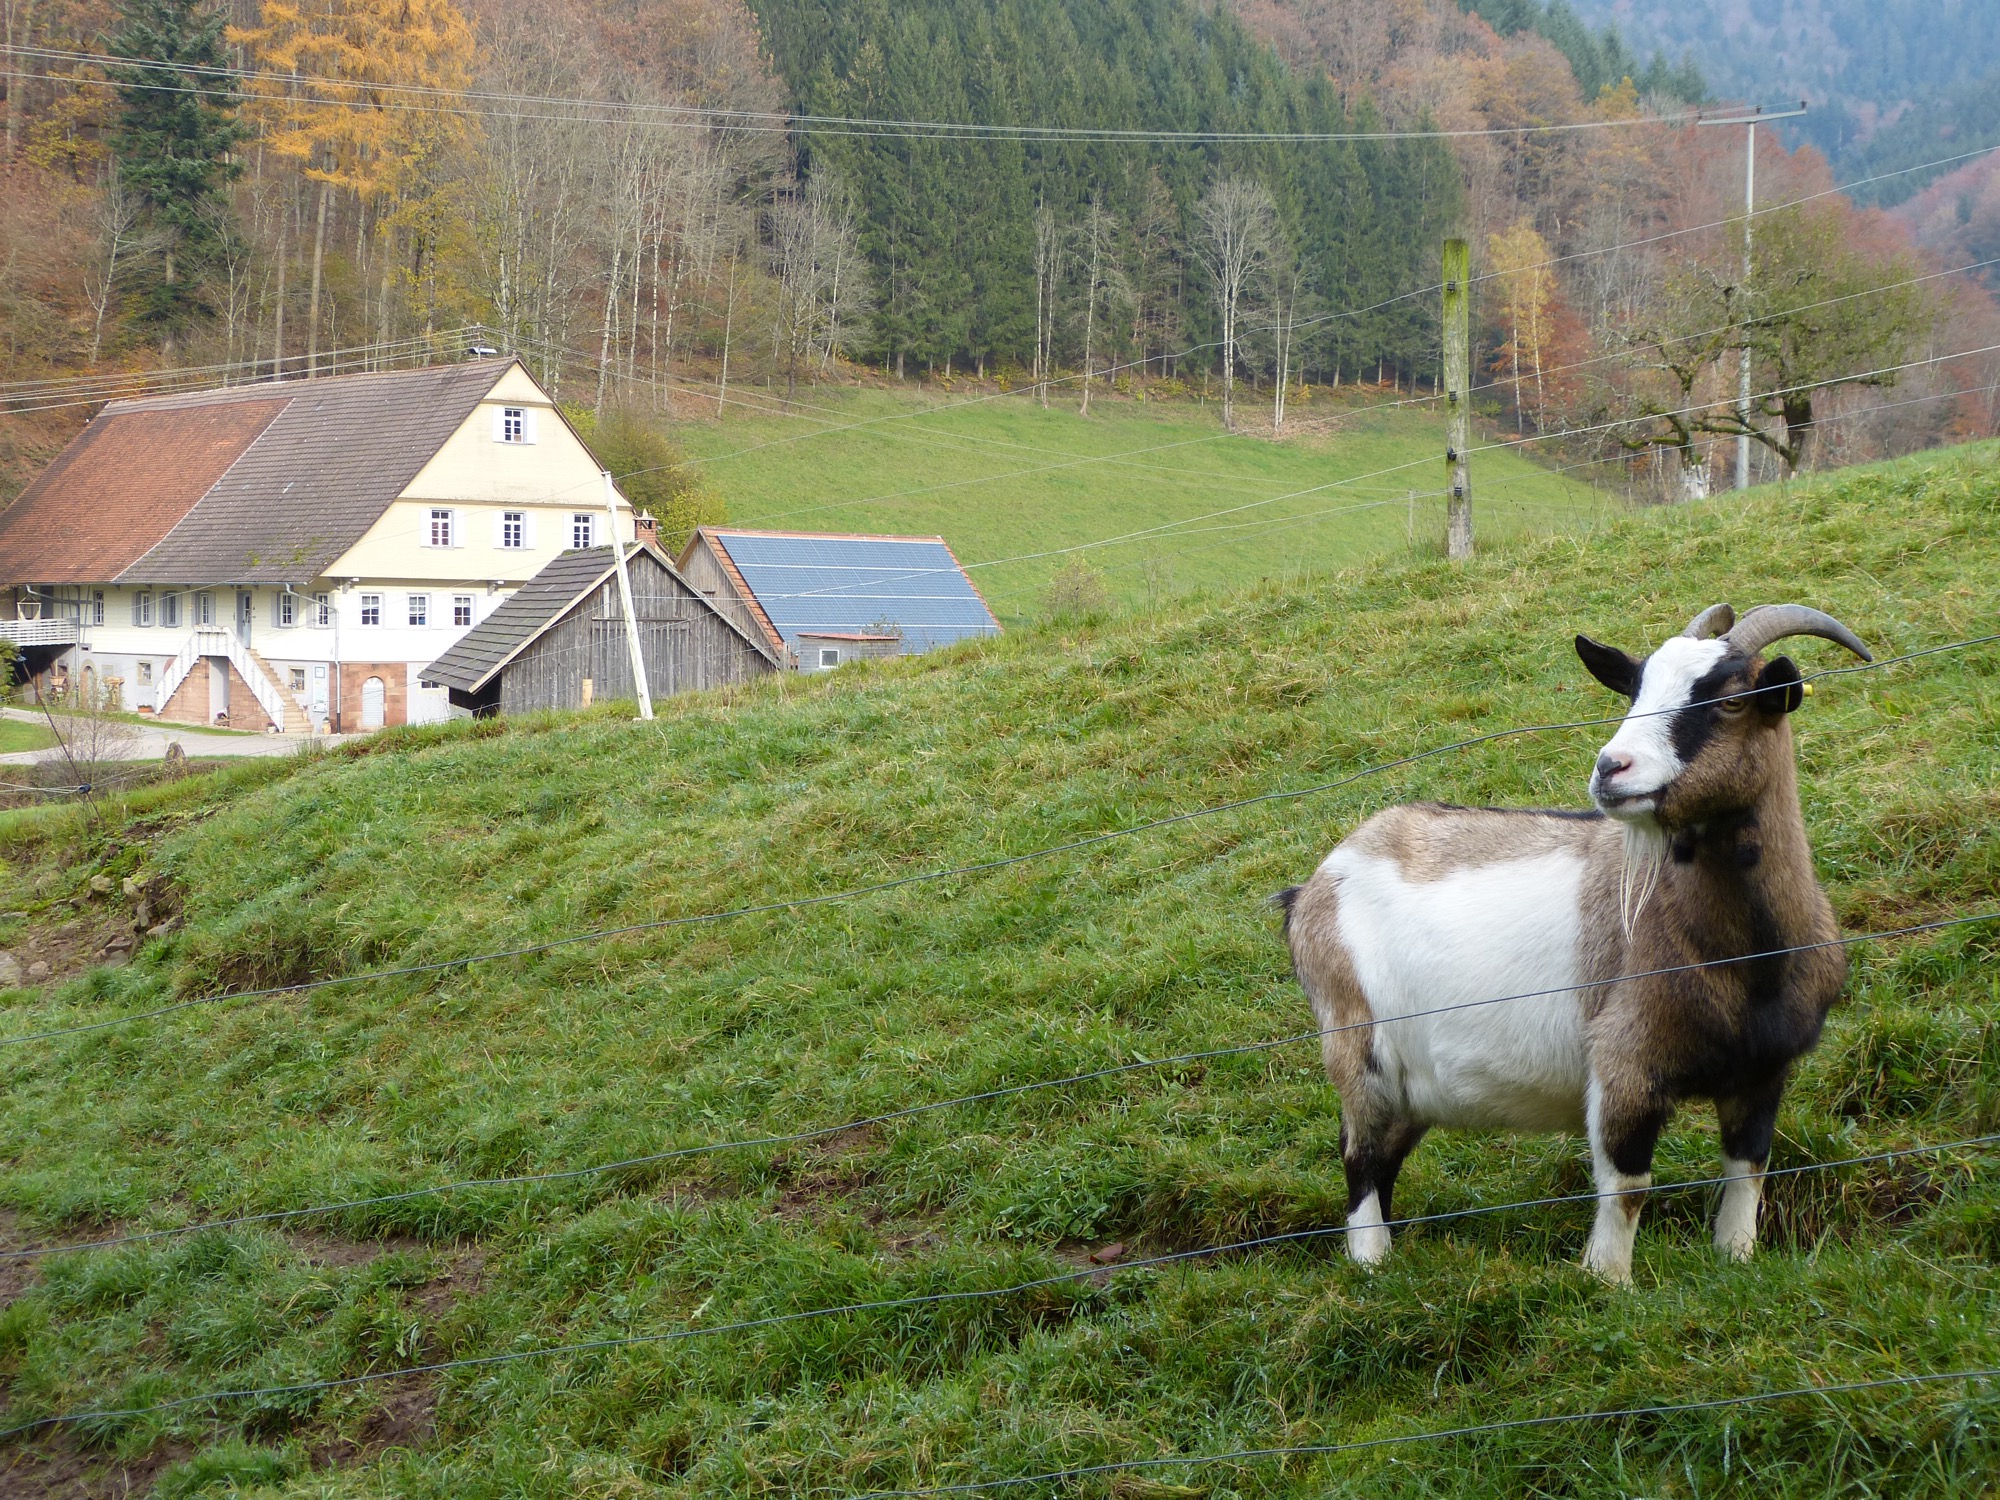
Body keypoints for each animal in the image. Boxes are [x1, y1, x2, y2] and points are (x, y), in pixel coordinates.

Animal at [1279, 603, 1871, 1284]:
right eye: (1636, 689)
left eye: (1731, 699)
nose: (1612, 769)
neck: (1747, 959)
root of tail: (1314, 886)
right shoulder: (1624, 1064)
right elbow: (1628, 1187)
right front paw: (1608, 1281)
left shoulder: (1764, 1071)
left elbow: (1750, 1170)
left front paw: (1737, 1257)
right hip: (1356, 1046)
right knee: (1359, 1156)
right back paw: (1372, 1266)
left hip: (1412, 1084)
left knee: (1384, 1157)